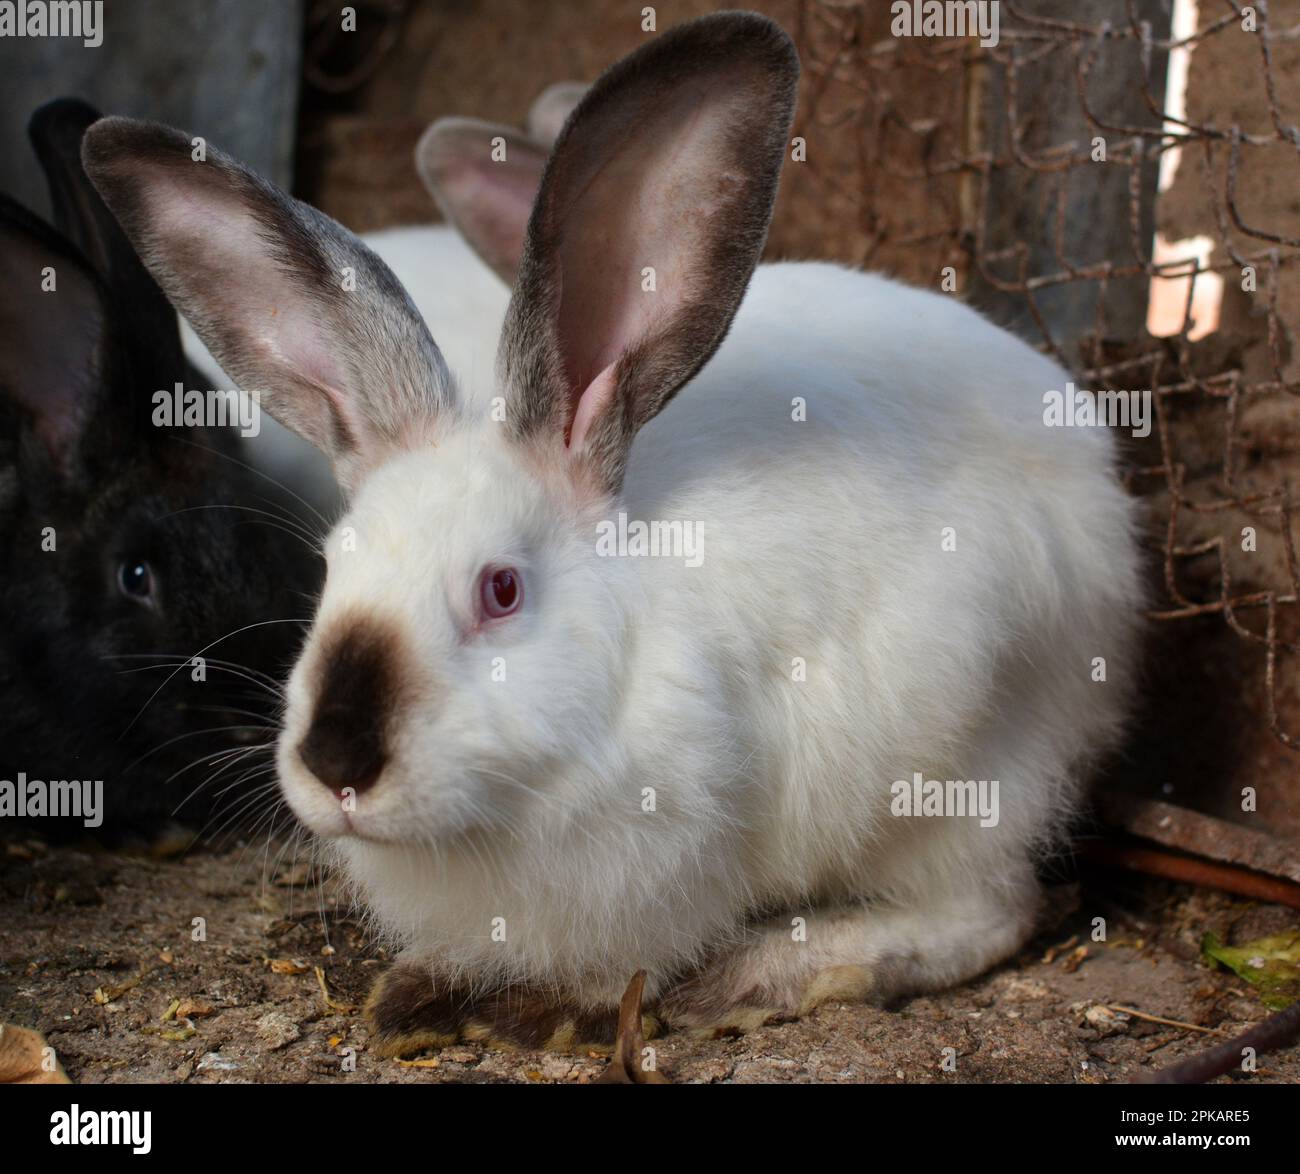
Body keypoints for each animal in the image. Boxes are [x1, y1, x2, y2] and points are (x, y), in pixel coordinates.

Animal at [83, 10, 1142, 1051]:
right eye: (328, 569)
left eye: (501, 589)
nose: (338, 765)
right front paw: (421, 988)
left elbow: (628, 958)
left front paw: (550, 1006)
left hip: (972, 766)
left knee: (993, 910)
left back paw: (779, 969)